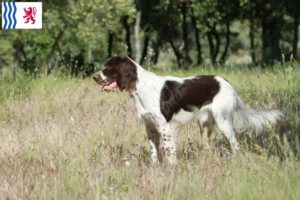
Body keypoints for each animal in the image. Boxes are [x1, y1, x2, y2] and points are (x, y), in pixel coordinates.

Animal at [92, 55, 284, 163]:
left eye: (109, 67)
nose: (94, 77)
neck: (140, 88)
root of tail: (227, 83)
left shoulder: (165, 127)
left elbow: (169, 153)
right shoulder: (150, 127)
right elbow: (154, 152)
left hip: (223, 121)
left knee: (235, 144)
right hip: (205, 125)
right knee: (208, 146)